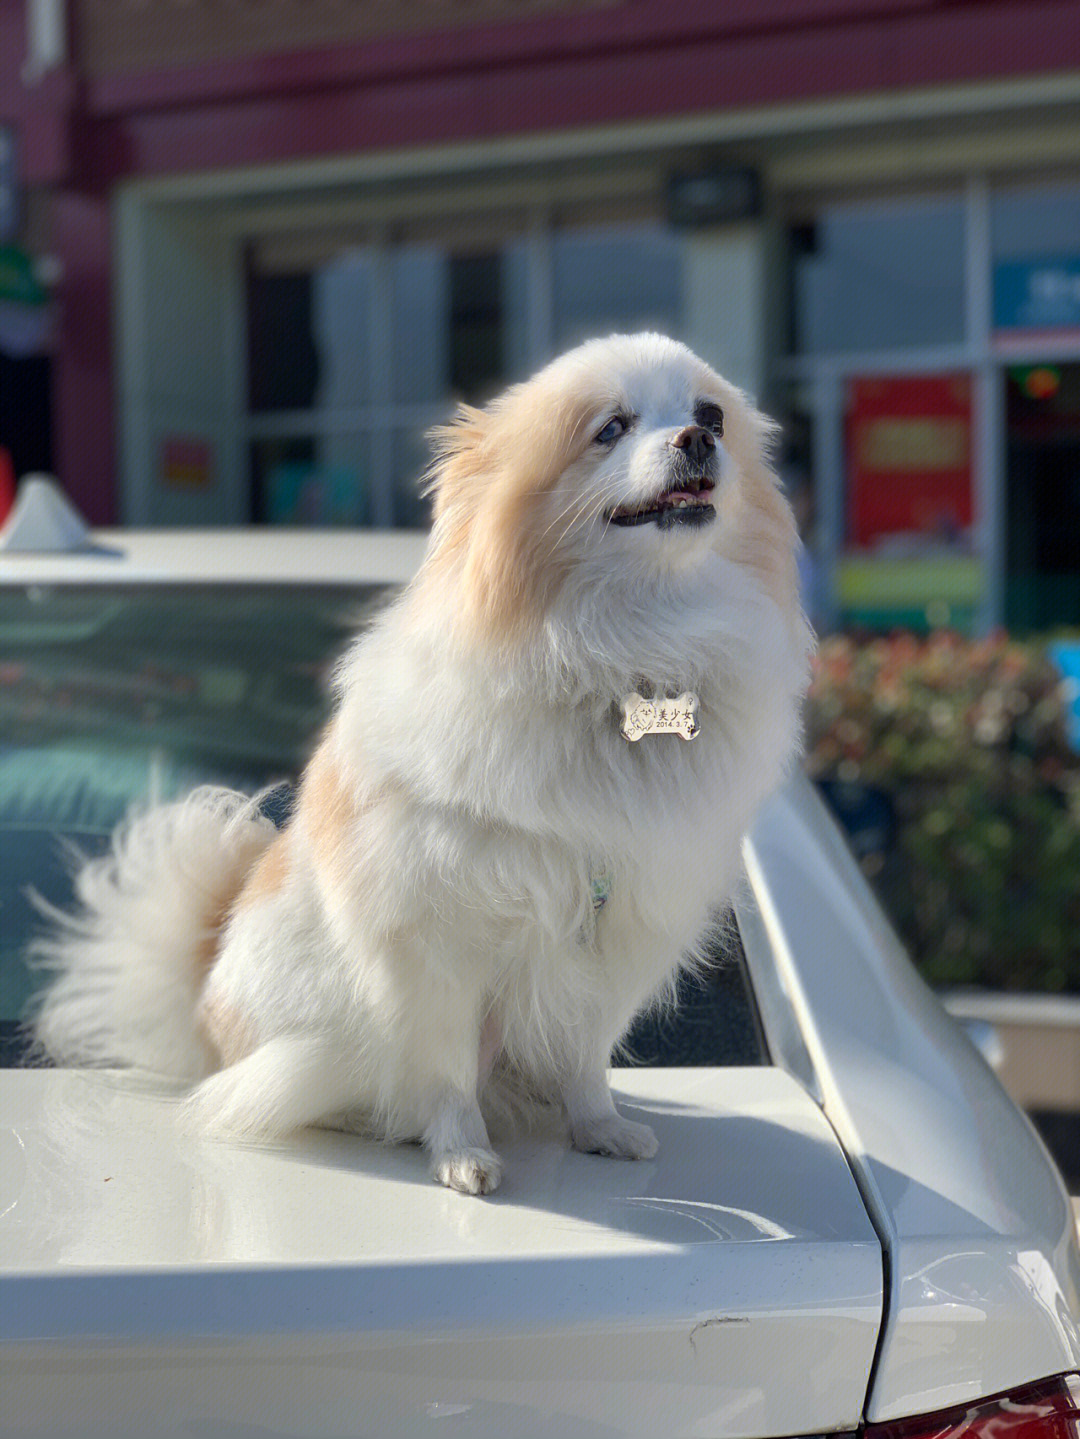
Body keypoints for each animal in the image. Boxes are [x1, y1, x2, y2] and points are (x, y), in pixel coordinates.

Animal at [31, 333, 811, 1191]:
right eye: (611, 429)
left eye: (712, 416)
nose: (698, 439)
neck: (634, 654)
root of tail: (202, 1017)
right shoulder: (436, 942)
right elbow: (445, 1068)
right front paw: (463, 1151)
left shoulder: (622, 925)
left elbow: (586, 1053)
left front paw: (598, 1126)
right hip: (321, 1046)